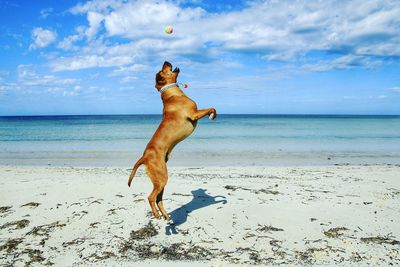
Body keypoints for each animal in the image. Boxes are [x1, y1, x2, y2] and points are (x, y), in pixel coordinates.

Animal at [128, 61, 216, 224]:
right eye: (162, 69)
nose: (166, 61)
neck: (172, 94)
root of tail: (144, 156)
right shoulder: (194, 114)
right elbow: (212, 108)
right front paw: (213, 115)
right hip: (162, 177)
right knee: (151, 197)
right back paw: (157, 215)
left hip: (160, 180)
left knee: (158, 199)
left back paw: (166, 216)